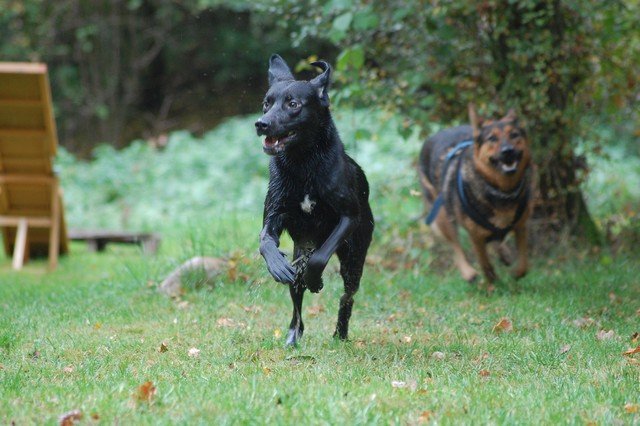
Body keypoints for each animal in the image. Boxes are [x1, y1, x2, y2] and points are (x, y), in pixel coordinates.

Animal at [255, 54, 376, 346]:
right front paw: (277, 265)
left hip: (354, 259)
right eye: (266, 103)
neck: (303, 165)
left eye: (293, 104)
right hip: (300, 250)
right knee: (296, 300)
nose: (261, 123)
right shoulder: (274, 214)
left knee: (347, 296)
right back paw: (292, 337)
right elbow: (265, 241)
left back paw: (340, 333)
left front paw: (315, 279)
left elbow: (320, 258)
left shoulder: (348, 217)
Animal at [418, 104, 532, 282]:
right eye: (492, 138)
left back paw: (503, 253)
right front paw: (492, 281)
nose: (508, 151)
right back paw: (468, 272)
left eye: (514, 135)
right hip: (442, 215)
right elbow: (485, 264)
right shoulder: (475, 236)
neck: (501, 190)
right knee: (455, 245)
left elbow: (523, 265)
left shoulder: (521, 226)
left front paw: (515, 272)